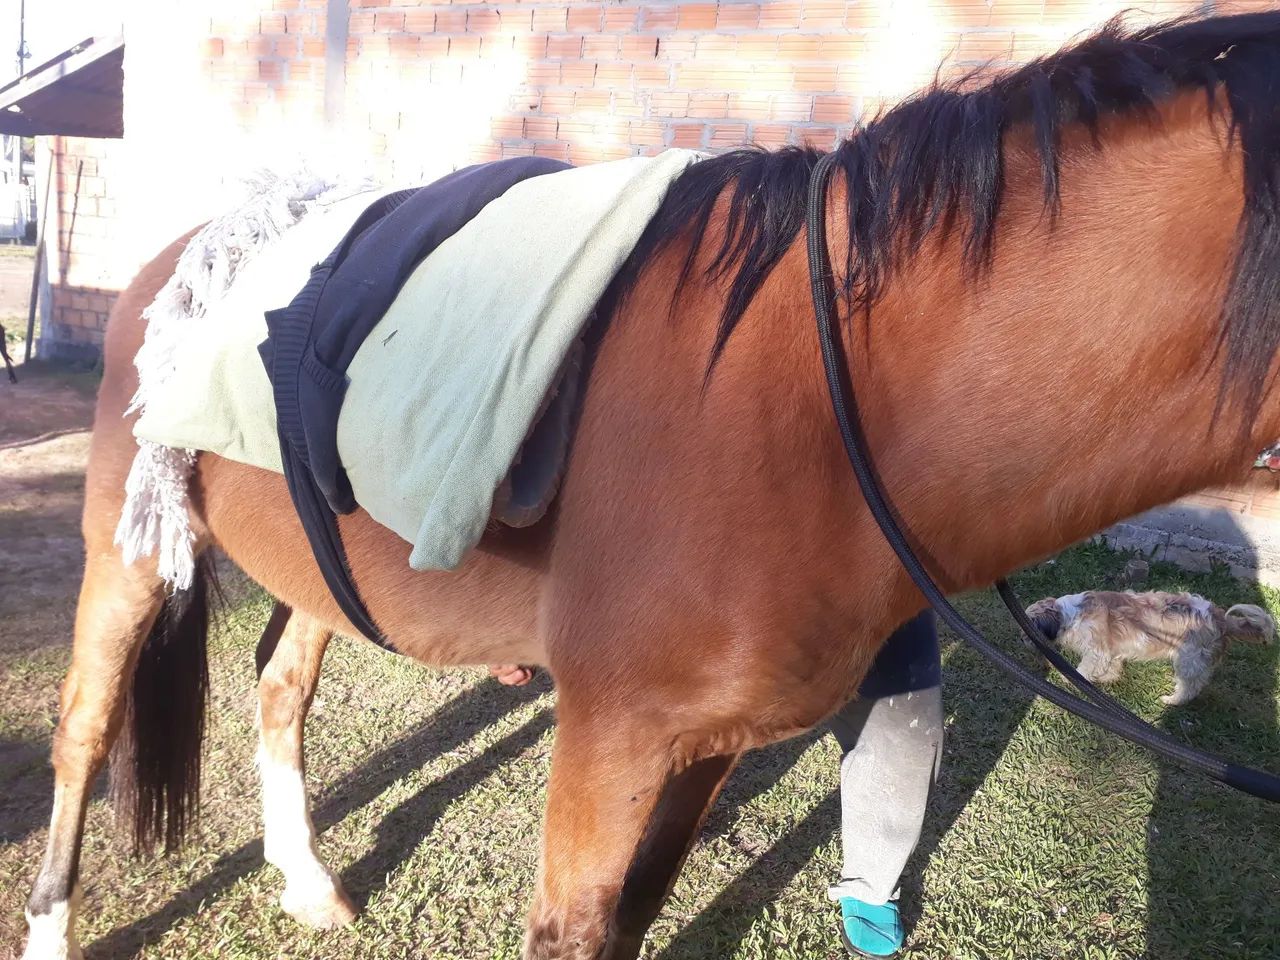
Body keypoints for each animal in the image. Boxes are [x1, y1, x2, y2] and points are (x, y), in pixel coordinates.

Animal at [21, 10, 1280, 959]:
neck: (812, 414)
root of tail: (186, 250)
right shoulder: (611, 739)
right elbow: (574, 928)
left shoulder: (709, 742)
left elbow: (632, 917)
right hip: (124, 549)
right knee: (83, 729)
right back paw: (53, 923)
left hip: (313, 572)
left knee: (280, 689)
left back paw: (304, 878)